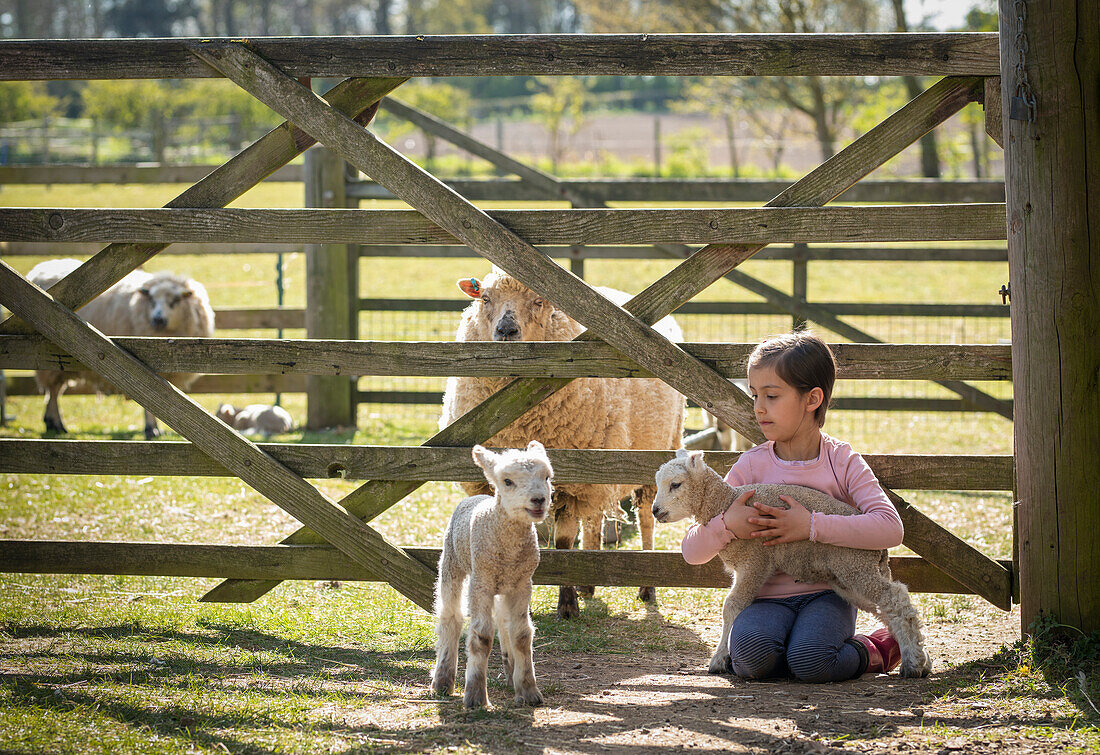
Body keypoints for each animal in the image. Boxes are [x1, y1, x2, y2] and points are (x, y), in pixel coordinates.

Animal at [29, 258, 215, 440]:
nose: (158, 319)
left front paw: (155, 428)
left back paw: (51, 422)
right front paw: (150, 429)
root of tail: (40, 268)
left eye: (175, 301)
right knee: (53, 391)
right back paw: (56, 423)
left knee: (54, 390)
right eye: (152, 300)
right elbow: (150, 400)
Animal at [426, 440, 550, 713]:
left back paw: (511, 672)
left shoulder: (522, 583)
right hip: (452, 562)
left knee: (503, 621)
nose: (539, 499)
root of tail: (477, 496)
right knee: (450, 618)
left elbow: (522, 634)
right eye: (508, 481)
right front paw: (475, 697)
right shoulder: (481, 582)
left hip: (502, 584)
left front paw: (528, 691)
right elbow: (481, 637)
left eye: (547, 477)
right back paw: (442, 680)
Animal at [440, 271, 686, 620]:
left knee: (646, 521)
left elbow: (564, 542)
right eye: (485, 298)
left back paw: (646, 588)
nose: (506, 331)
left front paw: (567, 605)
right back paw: (588, 583)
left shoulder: (570, 483)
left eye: (539, 300)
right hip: (599, 469)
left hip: (653, 455)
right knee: (595, 520)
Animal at [646, 449, 932, 682]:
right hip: (849, 577)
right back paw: (921, 657)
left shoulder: (755, 562)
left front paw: (719, 659)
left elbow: (732, 606)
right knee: (886, 608)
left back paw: (913, 663)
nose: (655, 510)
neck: (725, 503)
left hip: (854, 565)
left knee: (895, 599)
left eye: (675, 484)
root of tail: (881, 552)